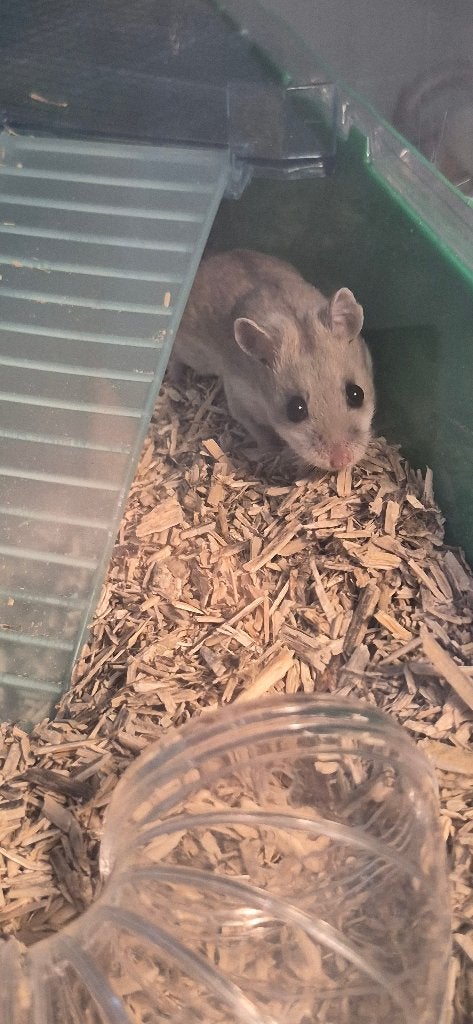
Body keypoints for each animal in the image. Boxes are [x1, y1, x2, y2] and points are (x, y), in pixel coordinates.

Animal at [170, 249, 375, 471]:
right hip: (191, 353)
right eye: (295, 409)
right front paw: (273, 452)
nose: (341, 462)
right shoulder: (240, 403)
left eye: (356, 394)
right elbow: (259, 432)